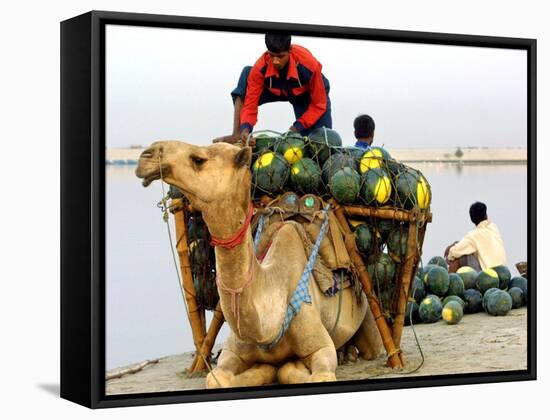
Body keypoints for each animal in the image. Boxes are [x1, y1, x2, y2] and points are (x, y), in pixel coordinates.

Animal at [135, 140, 384, 388]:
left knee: (374, 347)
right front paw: (262, 369)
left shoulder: (321, 347)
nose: (146, 156)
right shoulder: (232, 352)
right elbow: (217, 378)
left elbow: (303, 371)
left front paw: (284, 366)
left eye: (198, 159)